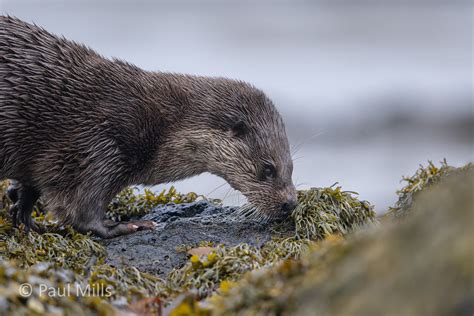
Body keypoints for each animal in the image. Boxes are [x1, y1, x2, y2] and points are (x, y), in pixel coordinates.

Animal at [0, 15, 296, 237]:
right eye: (268, 169)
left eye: (291, 167)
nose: (290, 204)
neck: (156, 123)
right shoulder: (94, 146)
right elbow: (81, 212)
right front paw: (125, 225)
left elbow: (29, 187)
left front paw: (24, 215)